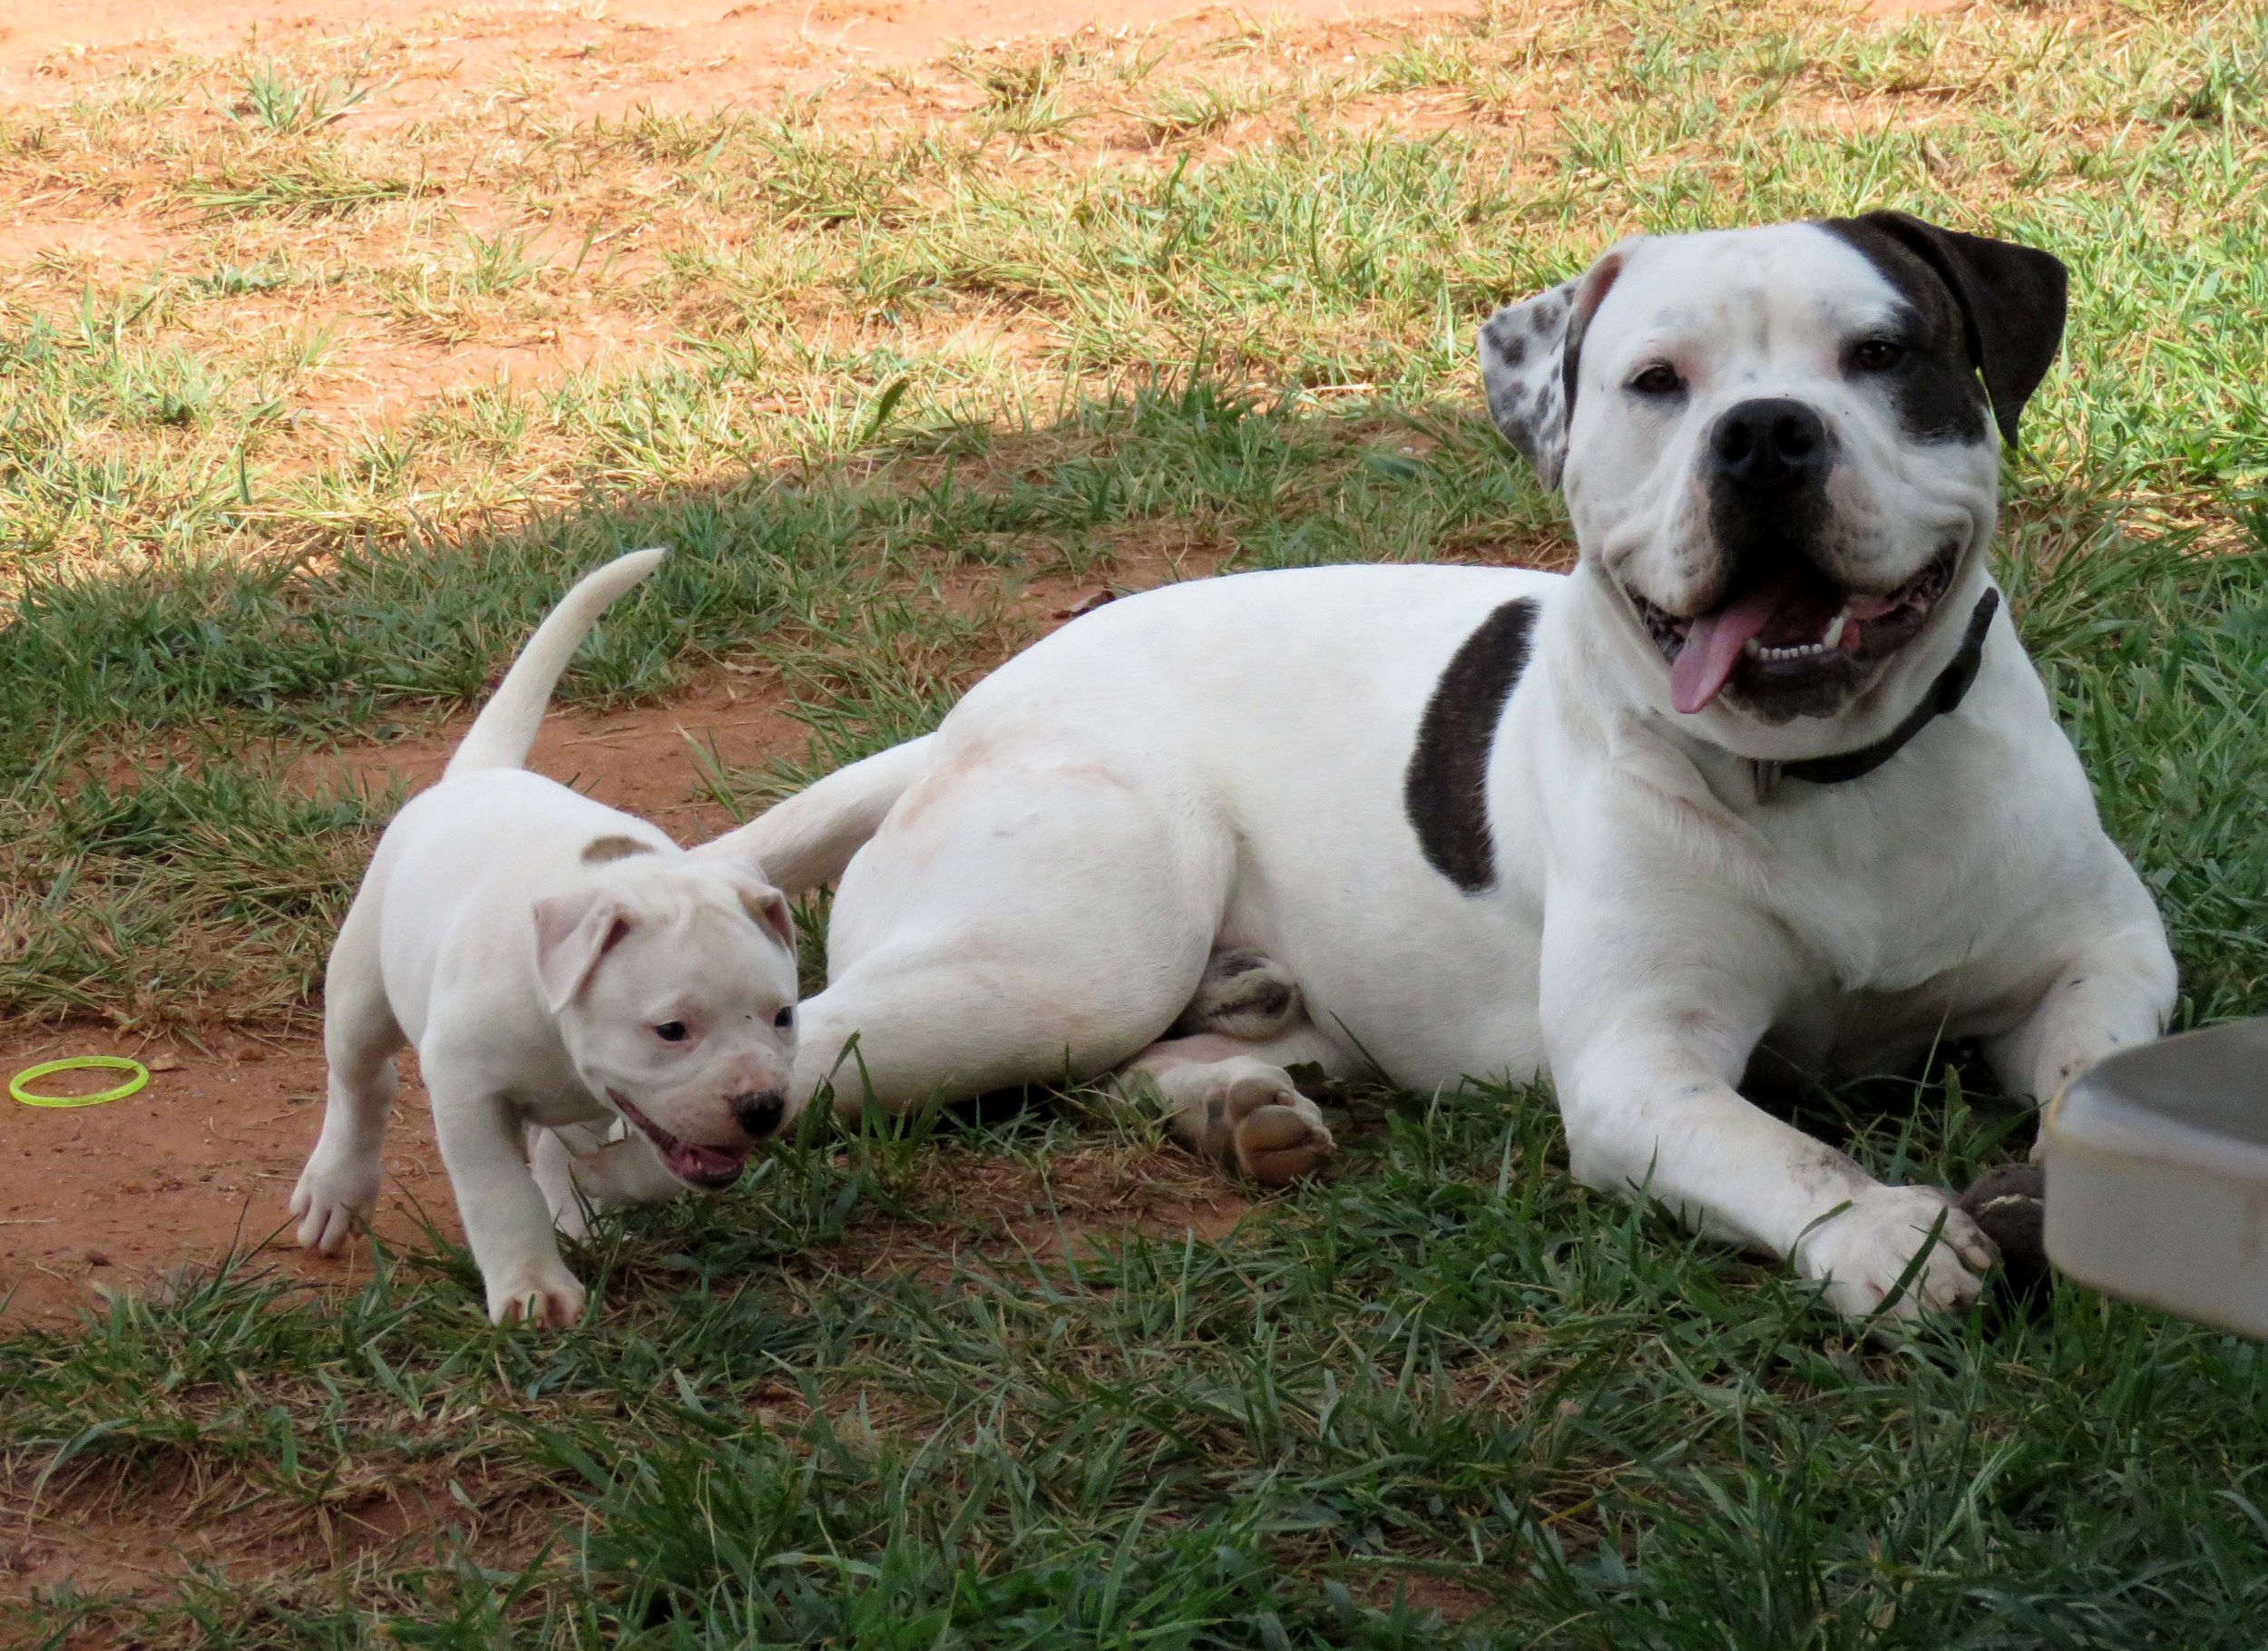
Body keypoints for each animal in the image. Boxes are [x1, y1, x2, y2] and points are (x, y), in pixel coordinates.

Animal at [292, 555, 803, 1324]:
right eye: (671, 1030)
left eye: (784, 1017)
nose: (762, 1108)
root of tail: (481, 773)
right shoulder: (466, 1090)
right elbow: (500, 1195)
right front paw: (533, 1287)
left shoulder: (637, 1117)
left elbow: (634, 1164)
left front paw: (596, 1192)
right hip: (361, 988)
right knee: (360, 1082)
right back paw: (336, 1187)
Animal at [708, 216, 2177, 1324]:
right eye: (1658, 382)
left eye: (1881, 352)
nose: (1765, 433)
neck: (1829, 779)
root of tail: (965, 718)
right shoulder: (1642, 1069)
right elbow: (1782, 1146)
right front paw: (1887, 1235)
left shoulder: (2103, 955)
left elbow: (2092, 1071)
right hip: (1056, 958)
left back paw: (1232, 1103)